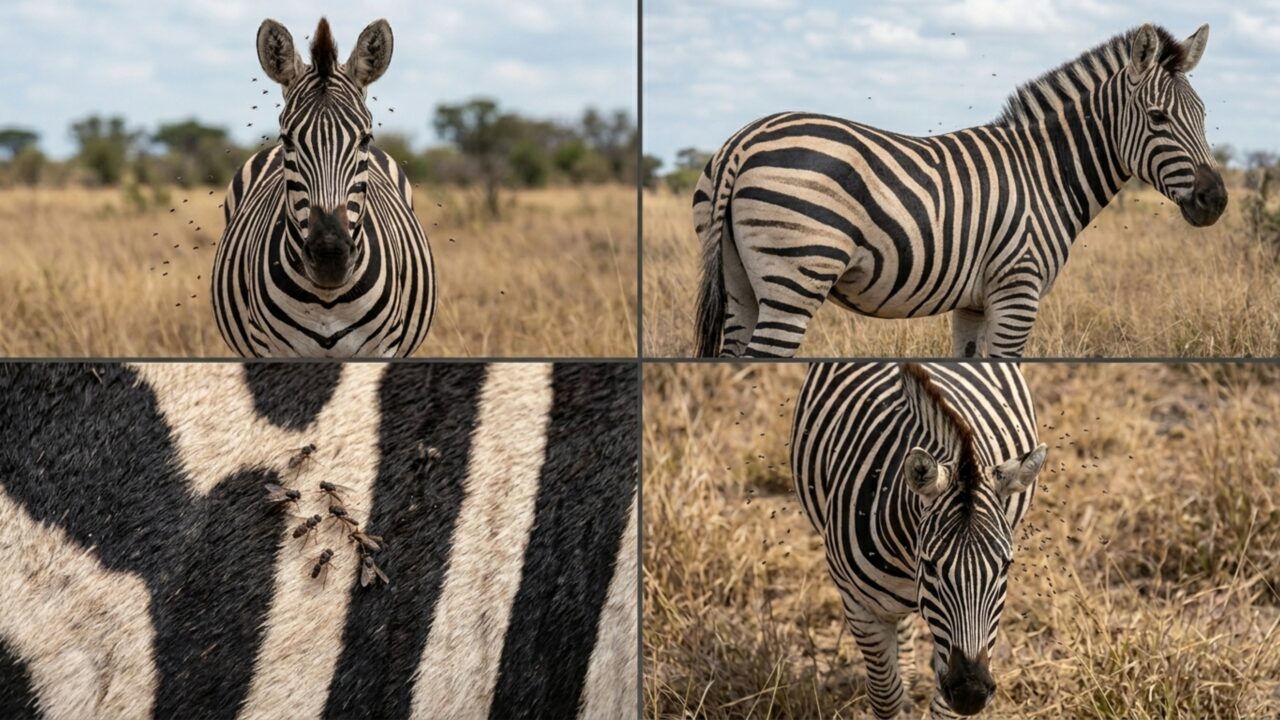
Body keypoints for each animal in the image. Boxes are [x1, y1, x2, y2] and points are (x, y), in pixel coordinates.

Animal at [212, 18, 435, 357]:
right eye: (287, 139)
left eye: (365, 139)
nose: (330, 257)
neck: (327, 302)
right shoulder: (269, 350)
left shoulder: (382, 349)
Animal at [694, 23, 1226, 358]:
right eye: (1158, 118)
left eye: (1203, 116)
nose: (1216, 200)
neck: (1046, 172)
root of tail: (744, 141)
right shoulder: (1018, 290)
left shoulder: (973, 303)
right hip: (796, 276)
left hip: (738, 282)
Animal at [791, 362, 1047, 717]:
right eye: (930, 566)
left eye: (1005, 567)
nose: (971, 694)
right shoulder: (860, 607)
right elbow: (886, 695)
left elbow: (943, 707)